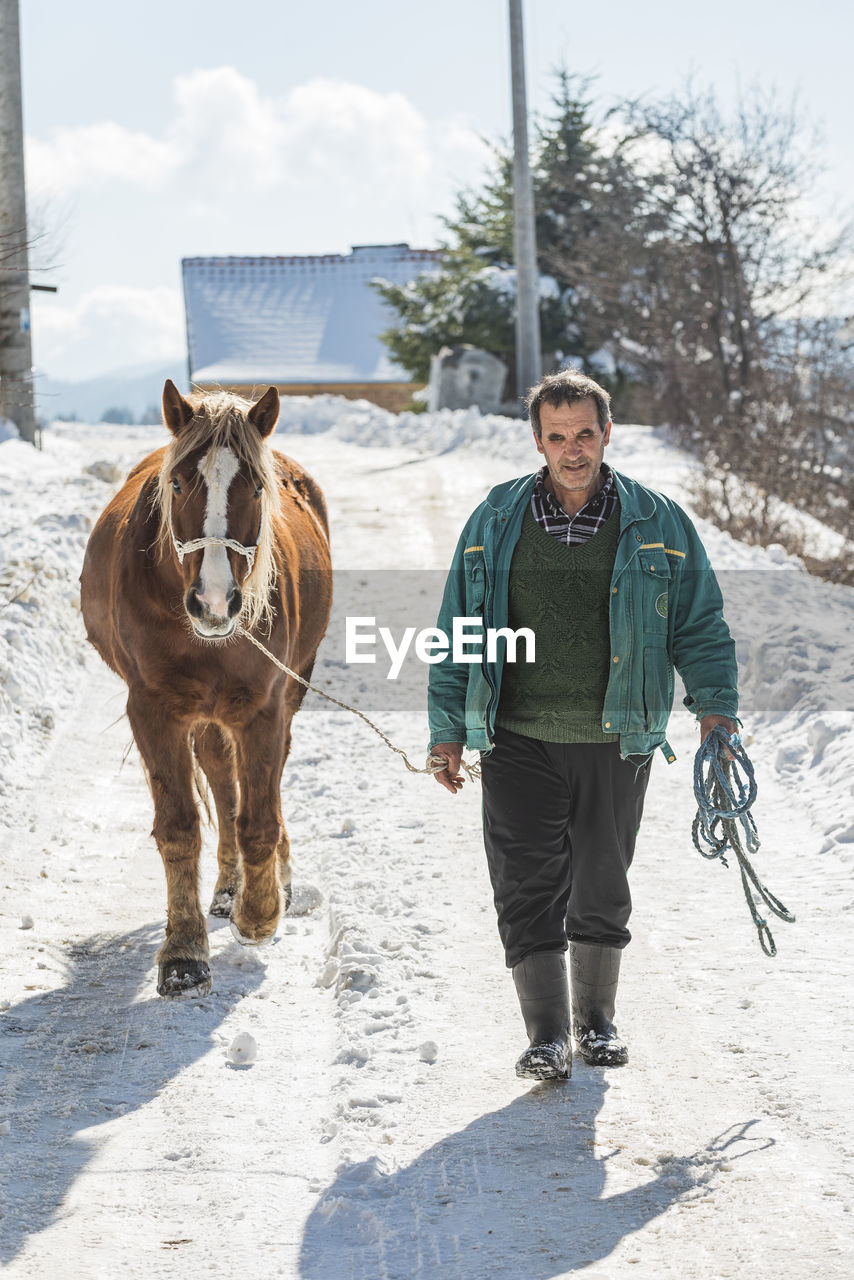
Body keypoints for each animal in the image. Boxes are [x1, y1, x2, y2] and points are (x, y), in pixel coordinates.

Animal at [80, 378, 332, 998]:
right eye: (176, 483)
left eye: (258, 486)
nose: (214, 602)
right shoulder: (154, 710)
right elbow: (179, 828)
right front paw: (184, 953)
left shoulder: (264, 706)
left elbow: (260, 817)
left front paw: (260, 913)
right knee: (220, 776)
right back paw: (224, 887)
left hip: (286, 692)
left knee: (260, 784)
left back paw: (266, 885)